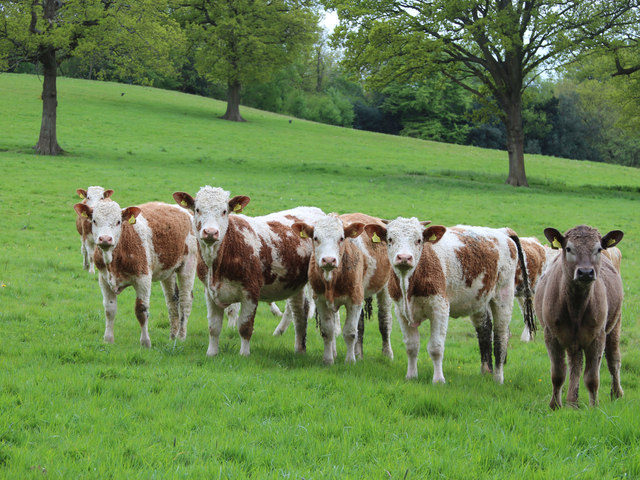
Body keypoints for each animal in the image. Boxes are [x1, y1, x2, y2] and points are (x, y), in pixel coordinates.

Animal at [74, 201, 198, 346]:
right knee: (172, 301)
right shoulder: (104, 279)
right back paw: (173, 335)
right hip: (168, 270)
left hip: (188, 265)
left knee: (185, 301)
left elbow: (141, 310)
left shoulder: (143, 278)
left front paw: (145, 342)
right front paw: (108, 339)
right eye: (94, 220)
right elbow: (109, 309)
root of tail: (182, 210)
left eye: (118, 221)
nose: (105, 239)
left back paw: (181, 337)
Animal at [172, 187, 324, 356]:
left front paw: (244, 354)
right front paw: (211, 353)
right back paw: (299, 349)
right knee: (299, 313)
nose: (210, 232)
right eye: (197, 209)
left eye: (224, 211)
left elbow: (245, 327)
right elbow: (214, 327)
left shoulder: (251, 291)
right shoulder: (210, 292)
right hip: (294, 283)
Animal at [292, 213, 392, 364]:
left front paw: (350, 361)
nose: (328, 260)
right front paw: (328, 360)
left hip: (384, 288)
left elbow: (350, 332)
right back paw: (351, 353)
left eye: (341, 238)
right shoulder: (320, 300)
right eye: (315, 238)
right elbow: (328, 331)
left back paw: (387, 354)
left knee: (384, 320)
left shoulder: (354, 300)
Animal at [362, 220, 532, 382]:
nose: (404, 257)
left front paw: (438, 380)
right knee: (485, 331)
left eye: (419, 240)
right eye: (390, 239)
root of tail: (503, 232)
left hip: (503, 296)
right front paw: (411, 376)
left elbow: (436, 347)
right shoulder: (401, 312)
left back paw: (498, 378)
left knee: (501, 337)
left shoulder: (440, 308)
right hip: (479, 299)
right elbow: (411, 346)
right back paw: (485, 371)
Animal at [532, 225, 624, 408]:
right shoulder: (551, 335)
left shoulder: (598, 337)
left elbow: (592, 377)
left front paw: (594, 407)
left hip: (615, 324)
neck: (576, 307)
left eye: (598, 249)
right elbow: (558, 374)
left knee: (613, 359)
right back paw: (571, 401)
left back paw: (616, 393)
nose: (585, 272)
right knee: (575, 363)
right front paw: (555, 405)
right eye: (568, 248)